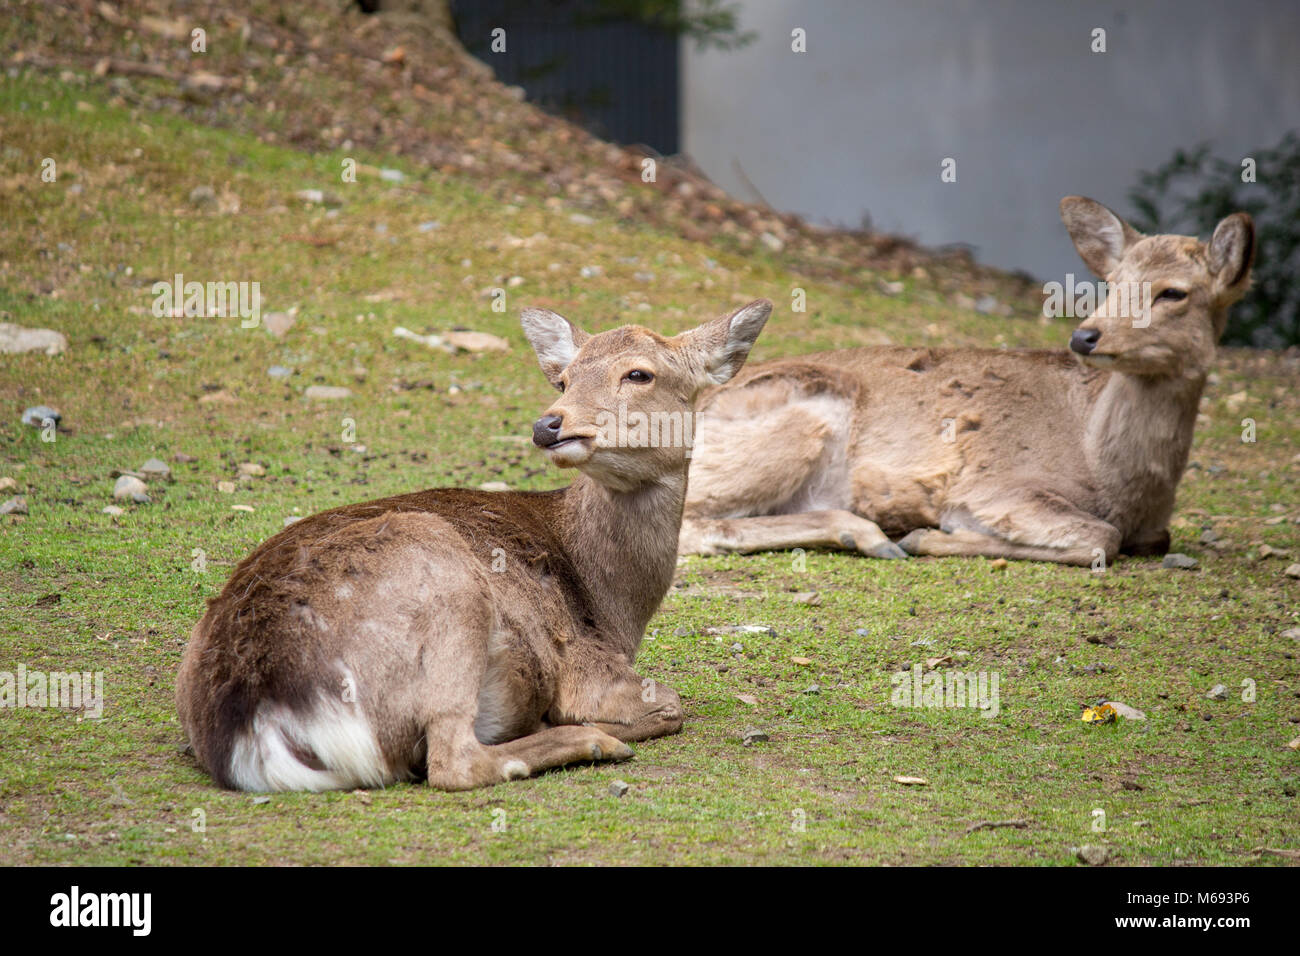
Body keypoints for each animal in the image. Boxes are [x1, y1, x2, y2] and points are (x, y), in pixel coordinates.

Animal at [174, 299, 769, 790]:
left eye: (639, 373)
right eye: (564, 380)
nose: (549, 425)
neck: (616, 611)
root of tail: (258, 721)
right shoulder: (587, 667)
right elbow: (669, 705)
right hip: (445, 582)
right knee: (452, 762)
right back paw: (590, 741)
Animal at [676, 197, 1253, 564]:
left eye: (1174, 292)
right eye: (1111, 284)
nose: (1086, 336)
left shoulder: (1153, 527)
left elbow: (1147, 539)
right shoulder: (994, 486)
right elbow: (1099, 537)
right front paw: (927, 537)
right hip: (793, 424)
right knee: (696, 524)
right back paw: (875, 536)